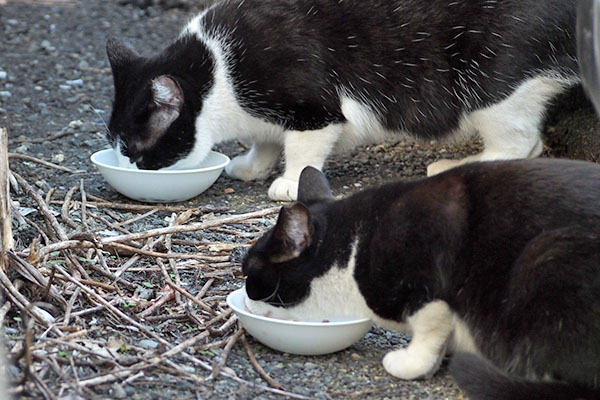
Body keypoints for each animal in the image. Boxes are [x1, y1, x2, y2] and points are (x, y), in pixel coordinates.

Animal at [105, 0, 580, 200]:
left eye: (137, 151)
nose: (130, 167)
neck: (218, 66)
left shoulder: (311, 107)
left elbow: (302, 148)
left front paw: (289, 181)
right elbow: (266, 139)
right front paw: (253, 164)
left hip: (489, 81)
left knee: (520, 142)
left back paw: (456, 166)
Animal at [241, 161, 600, 398]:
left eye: (249, 272)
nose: (241, 297)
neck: (354, 246)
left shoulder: (425, 287)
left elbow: (429, 328)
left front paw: (412, 363)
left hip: (547, 256)